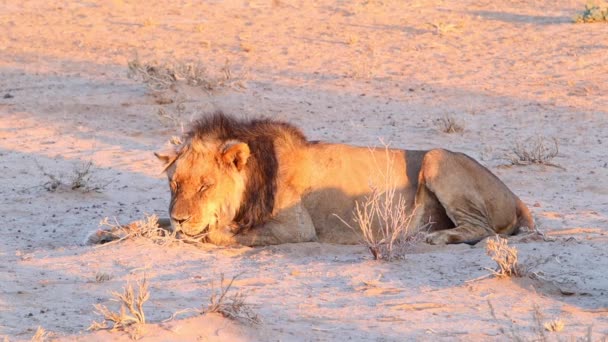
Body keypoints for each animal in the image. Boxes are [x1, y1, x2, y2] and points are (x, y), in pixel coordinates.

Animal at [154, 112, 536, 246]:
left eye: (206, 185)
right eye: (174, 185)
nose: (180, 218)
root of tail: (516, 198)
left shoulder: (298, 228)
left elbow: (221, 234)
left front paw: (196, 234)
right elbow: (155, 221)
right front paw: (153, 227)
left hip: (437, 157)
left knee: (481, 229)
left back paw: (438, 237)